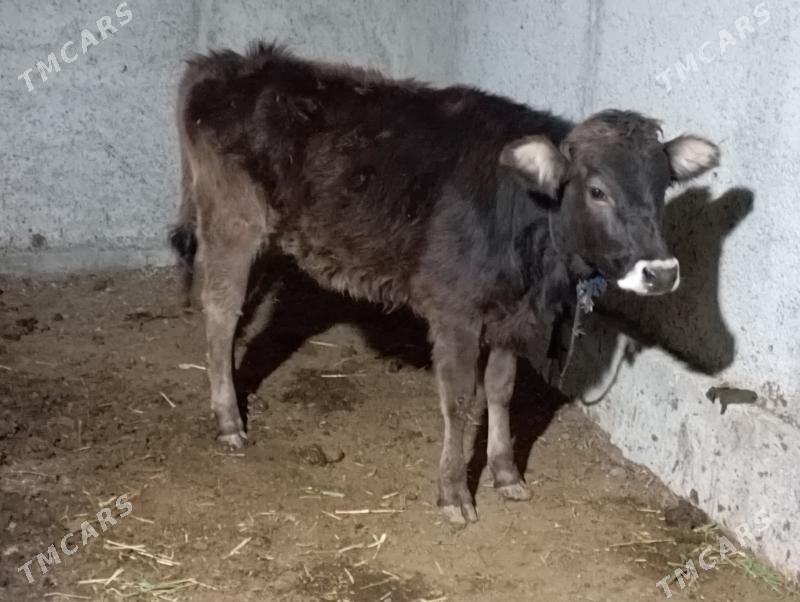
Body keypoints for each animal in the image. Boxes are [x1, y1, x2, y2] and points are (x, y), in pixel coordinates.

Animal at [170, 43, 720, 526]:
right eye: (598, 190)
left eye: (662, 187)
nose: (661, 272)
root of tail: (228, 63)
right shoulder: (456, 312)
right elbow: (458, 400)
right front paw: (455, 493)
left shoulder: (514, 316)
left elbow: (501, 389)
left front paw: (505, 473)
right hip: (231, 220)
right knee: (220, 312)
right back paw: (229, 420)